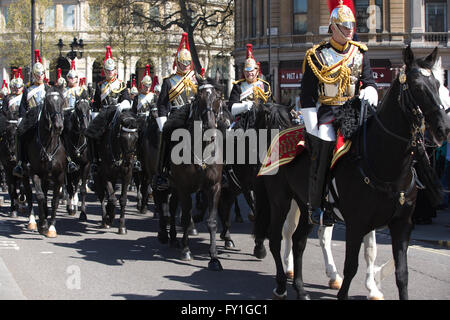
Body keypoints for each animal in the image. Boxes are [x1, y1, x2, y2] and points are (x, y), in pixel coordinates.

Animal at [23, 87, 67, 238]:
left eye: (62, 102)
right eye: (48, 103)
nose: (58, 126)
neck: (49, 146)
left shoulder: (59, 176)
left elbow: (54, 201)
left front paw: (51, 227)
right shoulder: (34, 173)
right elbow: (40, 196)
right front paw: (42, 225)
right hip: (25, 173)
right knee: (30, 194)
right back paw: (32, 221)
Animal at [91, 106, 139, 234]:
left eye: (136, 137)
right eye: (121, 137)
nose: (128, 162)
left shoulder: (127, 175)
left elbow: (122, 199)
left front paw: (122, 226)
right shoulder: (105, 175)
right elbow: (112, 199)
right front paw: (109, 217)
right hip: (98, 177)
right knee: (102, 196)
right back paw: (105, 219)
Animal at [166, 77, 224, 270]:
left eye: (218, 97)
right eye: (198, 98)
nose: (209, 127)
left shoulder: (214, 187)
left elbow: (212, 221)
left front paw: (214, 257)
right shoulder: (183, 187)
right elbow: (184, 217)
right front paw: (186, 250)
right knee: (171, 209)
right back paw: (169, 237)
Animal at [253, 45, 450, 300]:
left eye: (437, 84)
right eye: (417, 86)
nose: (443, 128)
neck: (386, 166)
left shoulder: (401, 225)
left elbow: (400, 272)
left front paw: (374, 287)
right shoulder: (357, 223)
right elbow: (351, 266)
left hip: (306, 204)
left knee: (298, 241)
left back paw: (300, 288)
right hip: (280, 200)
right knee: (277, 238)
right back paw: (280, 284)